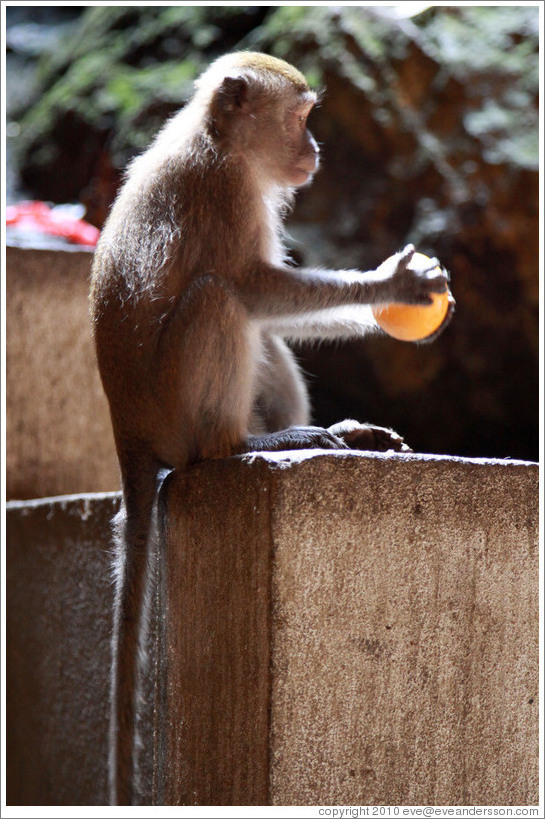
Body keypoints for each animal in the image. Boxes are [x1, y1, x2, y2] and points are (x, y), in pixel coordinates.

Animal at [89, 51, 448, 808]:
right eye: (300, 117)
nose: (315, 147)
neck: (220, 141)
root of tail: (128, 435)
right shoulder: (225, 193)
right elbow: (256, 288)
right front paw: (389, 287)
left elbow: (274, 311)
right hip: (175, 413)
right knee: (222, 300)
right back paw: (242, 446)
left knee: (258, 329)